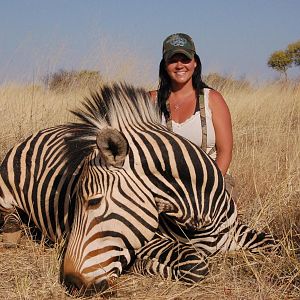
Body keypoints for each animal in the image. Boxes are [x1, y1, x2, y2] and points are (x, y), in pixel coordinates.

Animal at [0, 83, 276, 294]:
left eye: (93, 202)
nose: (71, 283)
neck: (201, 217)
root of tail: (43, 130)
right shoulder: (149, 241)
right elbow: (195, 264)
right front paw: (142, 265)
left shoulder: (234, 231)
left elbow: (272, 244)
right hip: (5, 186)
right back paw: (12, 231)